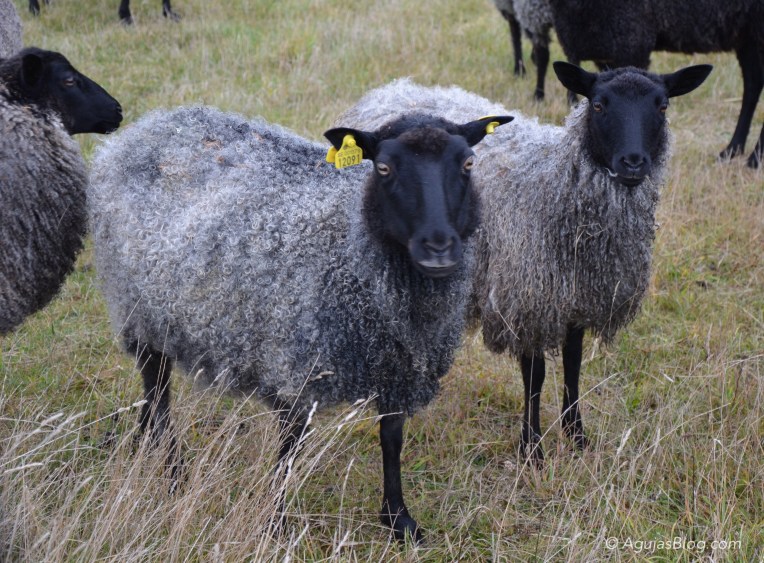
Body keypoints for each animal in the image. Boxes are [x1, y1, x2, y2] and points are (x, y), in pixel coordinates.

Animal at [88, 105, 513, 541]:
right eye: (383, 168)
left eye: (468, 163)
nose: (438, 248)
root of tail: (149, 125)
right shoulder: (296, 363)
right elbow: (290, 448)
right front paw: (275, 523)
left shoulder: (399, 370)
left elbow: (391, 439)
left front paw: (399, 520)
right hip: (138, 309)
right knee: (157, 387)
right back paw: (174, 472)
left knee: (153, 391)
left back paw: (144, 443)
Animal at [334, 62, 711, 465]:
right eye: (598, 104)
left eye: (662, 106)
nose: (633, 163)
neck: (553, 184)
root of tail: (390, 90)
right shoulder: (527, 297)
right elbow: (536, 376)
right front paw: (532, 449)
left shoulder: (574, 299)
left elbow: (573, 364)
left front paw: (577, 435)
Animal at [547, 0, 764, 168]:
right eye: (598, 106)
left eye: (663, 107)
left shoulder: (632, 39)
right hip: (747, 35)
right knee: (753, 84)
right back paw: (731, 151)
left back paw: (754, 159)